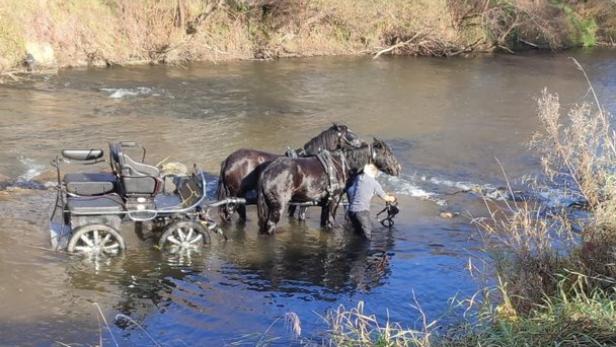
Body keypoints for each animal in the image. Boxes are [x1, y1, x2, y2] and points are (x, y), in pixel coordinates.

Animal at [258, 140, 402, 235]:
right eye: (388, 154)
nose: (398, 169)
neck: (342, 164)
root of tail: (266, 172)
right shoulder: (335, 200)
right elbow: (330, 223)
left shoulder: (325, 203)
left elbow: (324, 223)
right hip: (278, 207)